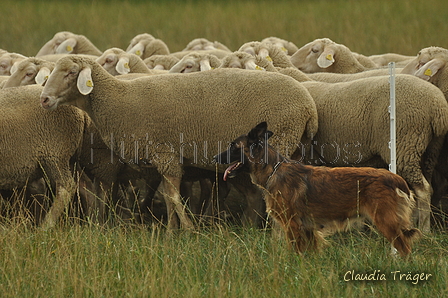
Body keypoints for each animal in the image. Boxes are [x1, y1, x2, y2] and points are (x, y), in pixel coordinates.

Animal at [39, 56, 318, 229]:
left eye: (71, 73)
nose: (44, 99)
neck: (117, 100)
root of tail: (308, 105)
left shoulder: (165, 152)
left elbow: (172, 195)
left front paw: (188, 229)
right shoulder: (165, 158)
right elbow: (168, 193)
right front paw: (173, 231)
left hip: (280, 138)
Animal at [215, 122, 422, 258]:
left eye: (233, 146)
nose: (215, 158)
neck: (273, 169)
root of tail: (394, 177)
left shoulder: (293, 226)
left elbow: (295, 253)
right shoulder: (307, 229)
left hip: (386, 222)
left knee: (405, 249)